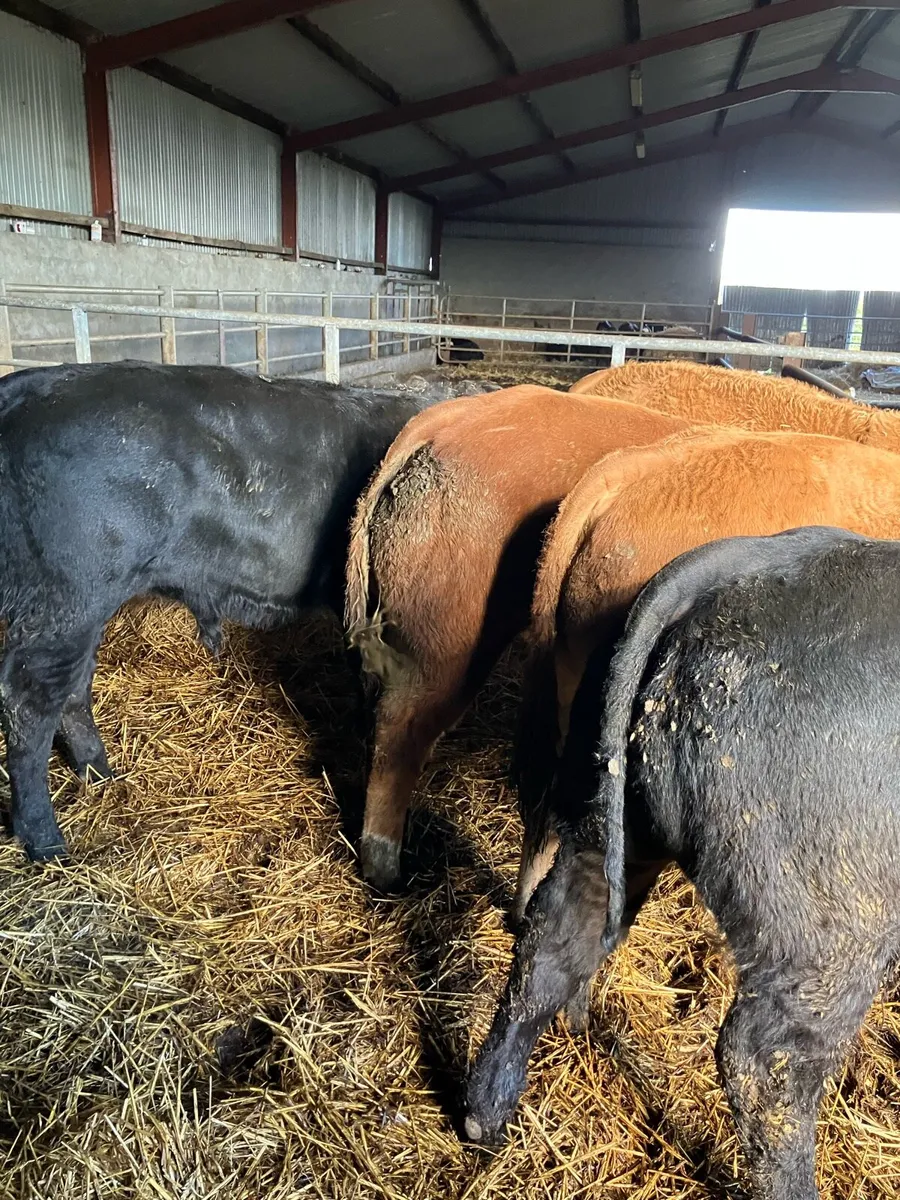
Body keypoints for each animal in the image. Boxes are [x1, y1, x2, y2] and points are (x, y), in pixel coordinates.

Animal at [0, 361, 431, 863]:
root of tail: (24, 388)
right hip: (66, 601)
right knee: (28, 702)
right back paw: (45, 841)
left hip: (82, 611)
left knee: (72, 689)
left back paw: (99, 773)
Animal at [465, 526, 900, 1200]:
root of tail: (721, 570)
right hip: (836, 913)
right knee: (766, 1060)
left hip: (603, 817)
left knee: (553, 937)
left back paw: (483, 1122)